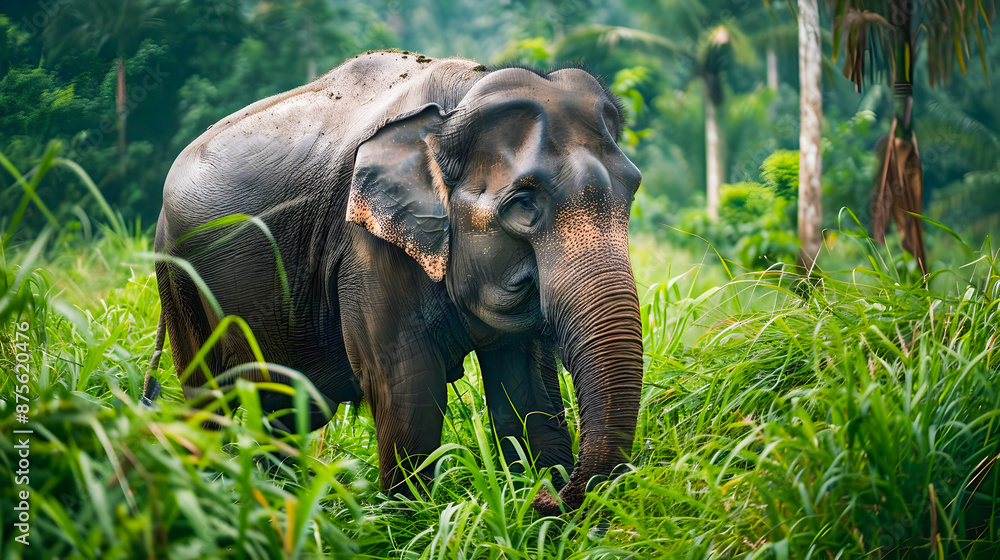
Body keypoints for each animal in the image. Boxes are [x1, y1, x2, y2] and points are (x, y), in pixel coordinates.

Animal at [144, 50, 643, 515]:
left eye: (632, 189)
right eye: (523, 204)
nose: (546, 496)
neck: (459, 101)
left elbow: (526, 393)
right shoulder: (366, 248)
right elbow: (406, 386)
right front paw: (409, 521)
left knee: (277, 409)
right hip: (177, 274)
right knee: (208, 398)